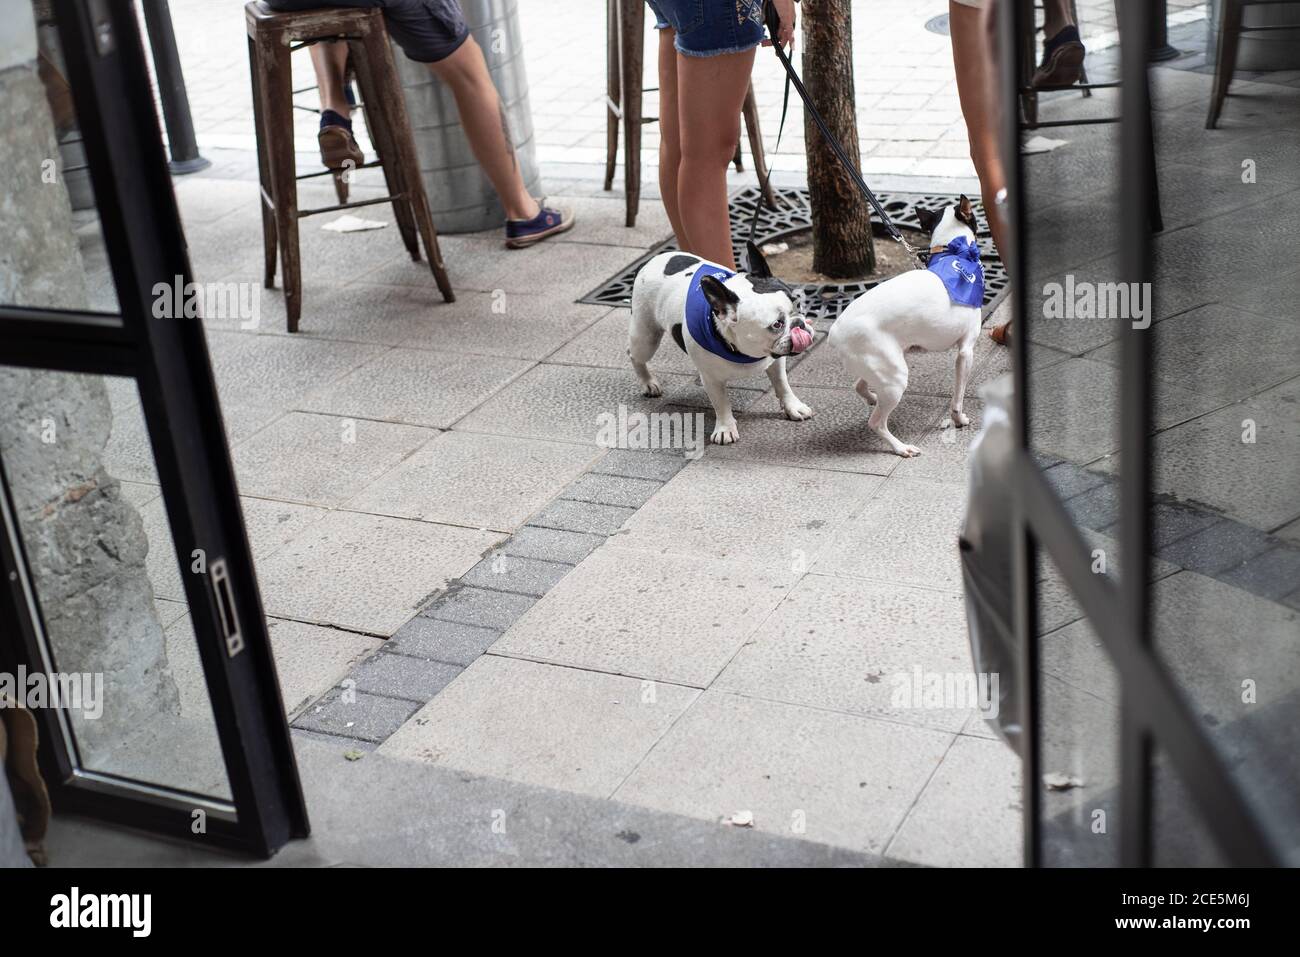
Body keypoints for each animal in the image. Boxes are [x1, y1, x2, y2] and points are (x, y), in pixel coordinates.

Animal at [626, 240, 811, 447]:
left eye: (798, 305)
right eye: (777, 324)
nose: (799, 323)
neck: (743, 352)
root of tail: (650, 261)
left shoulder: (776, 361)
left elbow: (782, 383)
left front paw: (793, 407)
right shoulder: (712, 379)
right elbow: (721, 403)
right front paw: (725, 429)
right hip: (646, 337)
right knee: (634, 354)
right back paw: (649, 383)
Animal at [832, 196, 982, 457]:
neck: (956, 253)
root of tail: (835, 330)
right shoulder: (965, 352)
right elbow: (958, 398)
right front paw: (959, 419)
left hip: (884, 365)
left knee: (859, 385)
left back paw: (872, 398)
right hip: (896, 377)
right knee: (876, 422)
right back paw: (901, 447)